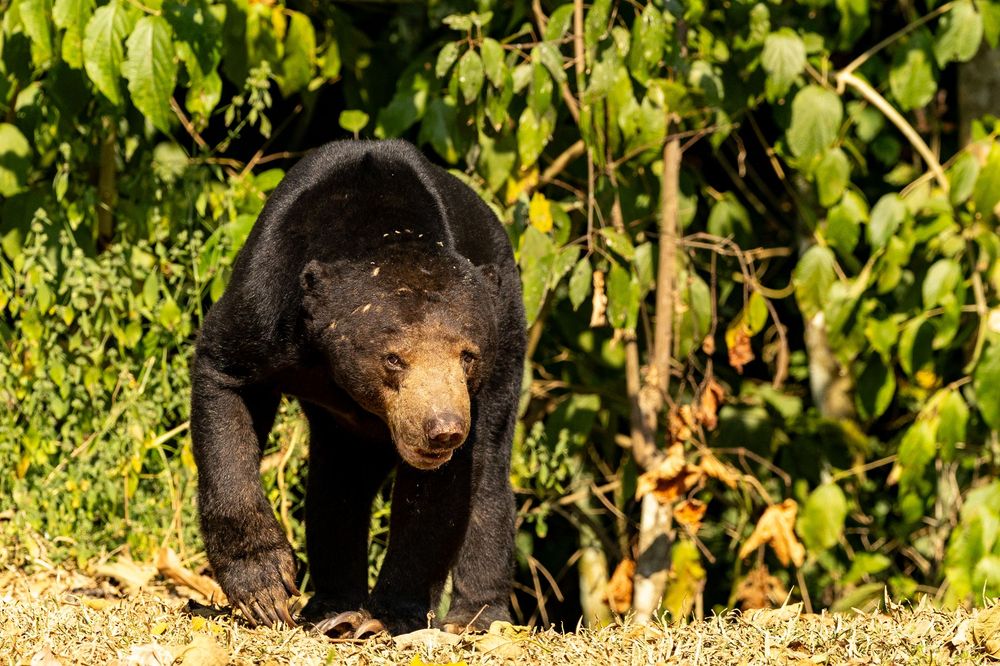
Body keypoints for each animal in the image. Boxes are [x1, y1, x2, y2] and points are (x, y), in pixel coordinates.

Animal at [190, 139, 525, 636]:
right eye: (394, 358)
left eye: (467, 356)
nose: (441, 429)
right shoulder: (263, 301)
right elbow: (226, 386)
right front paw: (265, 591)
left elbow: (441, 493)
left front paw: (386, 617)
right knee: (335, 487)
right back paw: (333, 607)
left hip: (510, 329)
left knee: (489, 477)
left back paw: (474, 617)